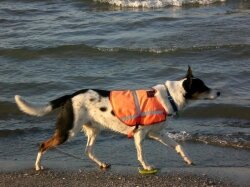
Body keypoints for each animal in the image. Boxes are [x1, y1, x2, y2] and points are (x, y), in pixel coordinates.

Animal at [14, 67, 220, 171]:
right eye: (203, 87)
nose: (218, 92)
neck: (169, 96)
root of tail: (70, 96)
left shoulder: (157, 134)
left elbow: (178, 146)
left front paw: (188, 160)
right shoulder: (139, 135)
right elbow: (141, 154)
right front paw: (146, 166)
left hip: (94, 130)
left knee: (88, 151)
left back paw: (102, 164)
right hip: (68, 131)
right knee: (43, 145)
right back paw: (38, 166)